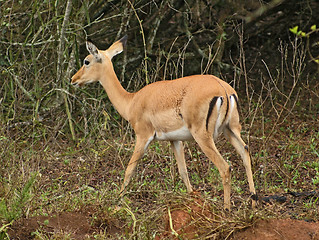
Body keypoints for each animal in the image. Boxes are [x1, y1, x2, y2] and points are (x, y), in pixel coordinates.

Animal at [72, 35, 258, 210]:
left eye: (86, 61)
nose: (74, 79)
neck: (131, 101)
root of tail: (223, 89)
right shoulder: (175, 140)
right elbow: (183, 171)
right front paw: (192, 199)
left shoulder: (143, 137)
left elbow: (129, 170)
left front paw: (117, 203)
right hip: (231, 129)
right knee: (245, 152)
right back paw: (254, 202)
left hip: (203, 136)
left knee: (225, 167)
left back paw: (226, 209)